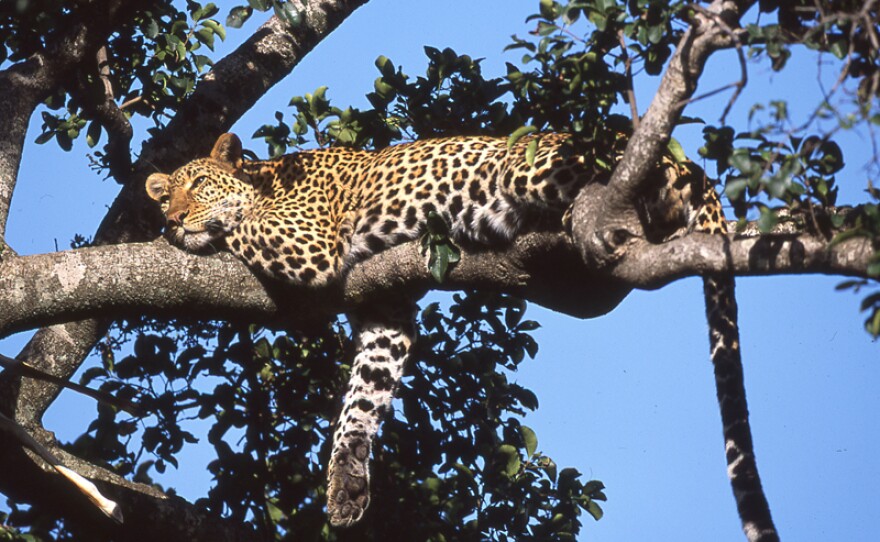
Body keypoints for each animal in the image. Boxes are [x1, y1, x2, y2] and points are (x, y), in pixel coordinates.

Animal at [144, 133, 776, 542]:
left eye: (198, 184)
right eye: (166, 195)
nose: (170, 219)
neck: (269, 178)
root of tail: (681, 160)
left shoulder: (310, 241)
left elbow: (239, 224)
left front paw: (191, 233)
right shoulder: (385, 310)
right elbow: (363, 396)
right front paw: (346, 482)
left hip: (530, 165)